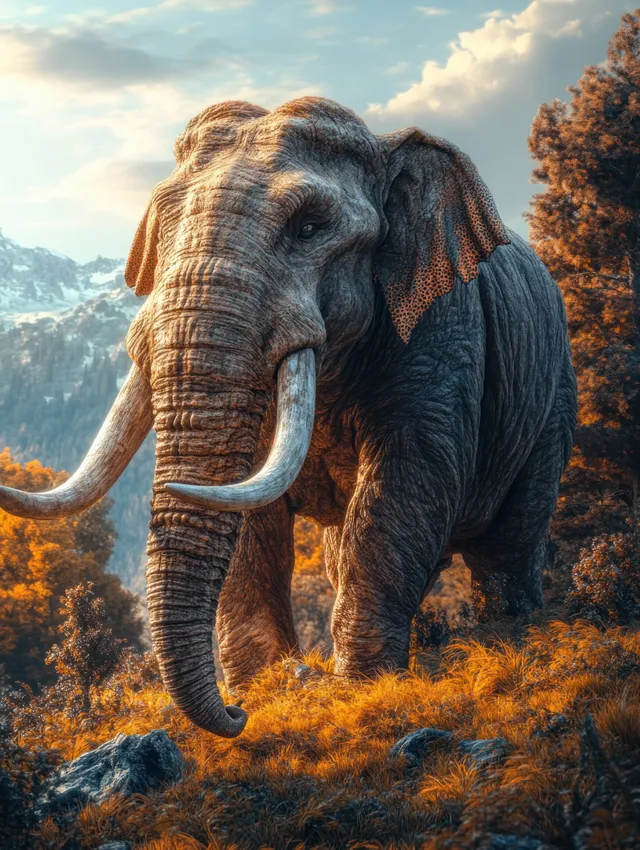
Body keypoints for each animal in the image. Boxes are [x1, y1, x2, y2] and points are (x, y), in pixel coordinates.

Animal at [0, 97, 577, 738]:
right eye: (165, 222)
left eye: (309, 228)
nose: (235, 716)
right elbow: (249, 508)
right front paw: (271, 688)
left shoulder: (442, 326)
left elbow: (408, 477)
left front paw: (364, 688)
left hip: (552, 391)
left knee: (510, 541)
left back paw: (508, 637)